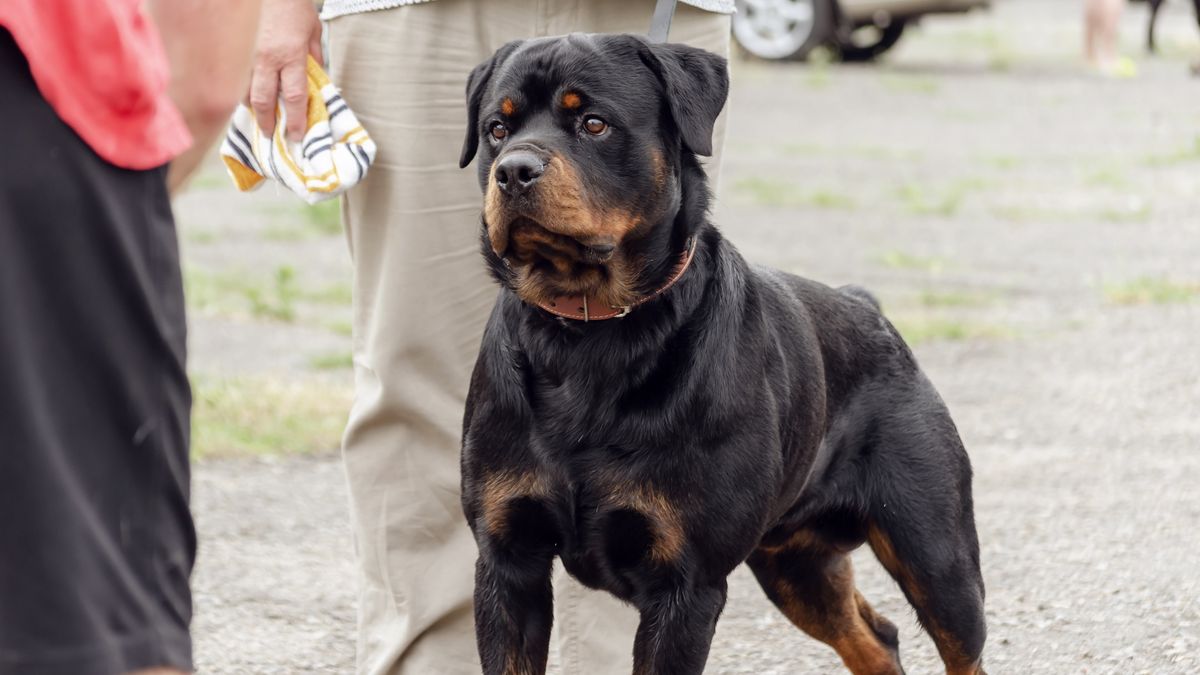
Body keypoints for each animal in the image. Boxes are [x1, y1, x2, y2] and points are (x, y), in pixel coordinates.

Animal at [453, 32, 988, 672]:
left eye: (593, 123)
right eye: (496, 129)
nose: (513, 171)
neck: (589, 332)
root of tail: (869, 310)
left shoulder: (686, 584)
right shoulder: (509, 561)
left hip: (936, 554)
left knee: (960, 643)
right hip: (795, 565)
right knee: (875, 636)